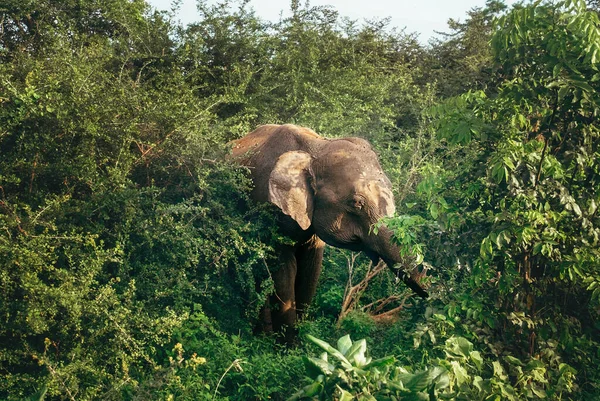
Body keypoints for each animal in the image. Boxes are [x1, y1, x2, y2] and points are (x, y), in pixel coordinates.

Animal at [230, 123, 426, 340]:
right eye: (356, 203)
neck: (317, 147)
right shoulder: (270, 208)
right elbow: (284, 270)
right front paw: (288, 345)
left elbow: (310, 268)